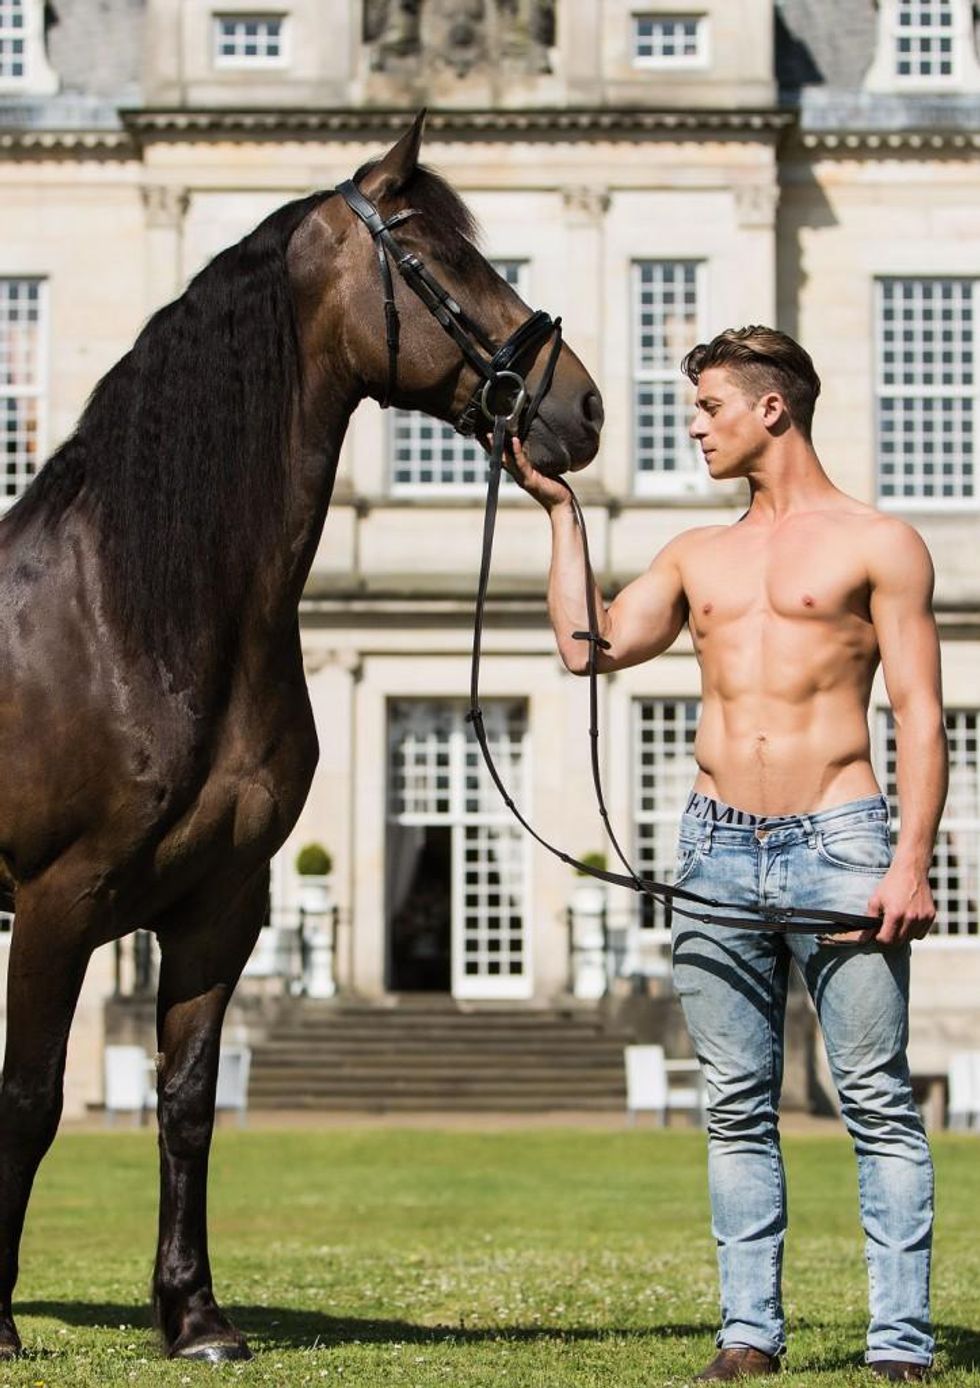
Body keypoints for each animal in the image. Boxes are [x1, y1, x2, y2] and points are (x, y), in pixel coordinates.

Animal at [0, 112, 602, 1362]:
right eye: (432, 256)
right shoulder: (56, 899)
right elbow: (29, 1098)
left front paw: (195, 1315)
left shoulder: (221, 902)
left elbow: (187, 1102)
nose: (581, 405)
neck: (141, 607)